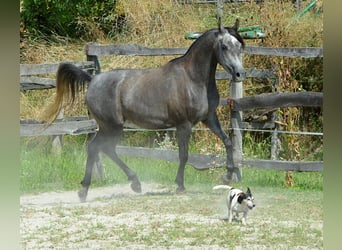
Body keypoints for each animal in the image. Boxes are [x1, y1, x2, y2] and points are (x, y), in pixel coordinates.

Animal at [44, 20, 246, 203]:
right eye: (224, 46)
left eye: (239, 46)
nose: (240, 74)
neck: (193, 79)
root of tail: (92, 80)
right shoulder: (184, 125)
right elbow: (184, 155)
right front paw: (180, 185)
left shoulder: (209, 118)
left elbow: (228, 142)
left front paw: (227, 176)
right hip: (111, 126)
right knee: (97, 148)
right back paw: (91, 190)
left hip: (111, 127)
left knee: (104, 149)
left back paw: (125, 185)